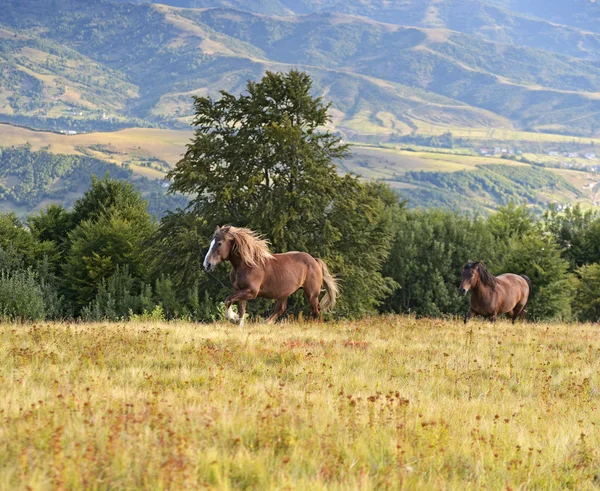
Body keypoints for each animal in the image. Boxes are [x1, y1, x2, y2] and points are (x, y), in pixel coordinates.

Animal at [204, 227, 340, 326]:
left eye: (219, 243)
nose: (207, 264)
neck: (247, 264)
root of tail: (315, 260)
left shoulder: (251, 292)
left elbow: (228, 300)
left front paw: (232, 318)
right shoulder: (240, 290)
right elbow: (240, 310)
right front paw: (238, 323)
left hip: (311, 294)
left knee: (315, 311)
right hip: (284, 293)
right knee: (281, 308)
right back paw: (266, 323)